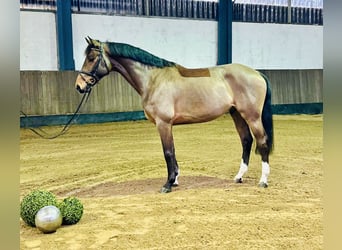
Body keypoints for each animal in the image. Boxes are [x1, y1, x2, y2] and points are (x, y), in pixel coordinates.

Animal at [75, 36, 272, 193]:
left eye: (91, 58)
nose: (79, 86)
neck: (153, 79)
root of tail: (257, 73)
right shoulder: (167, 125)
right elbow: (173, 151)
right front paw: (175, 179)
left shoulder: (163, 123)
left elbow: (168, 152)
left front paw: (168, 184)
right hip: (237, 114)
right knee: (246, 141)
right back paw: (239, 177)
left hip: (252, 117)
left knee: (262, 141)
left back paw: (263, 181)